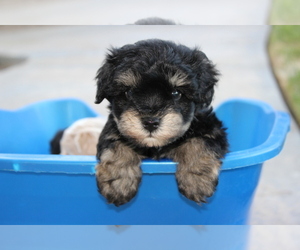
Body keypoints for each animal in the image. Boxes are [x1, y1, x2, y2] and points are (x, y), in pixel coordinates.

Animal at [95, 39, 229, 206]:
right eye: (129, 92)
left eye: (176, 93)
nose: (151, 122)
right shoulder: (113, 128)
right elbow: (115, 144)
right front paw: (118, 181)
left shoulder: (212, 128)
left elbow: (200, 142)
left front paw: (197, 179)